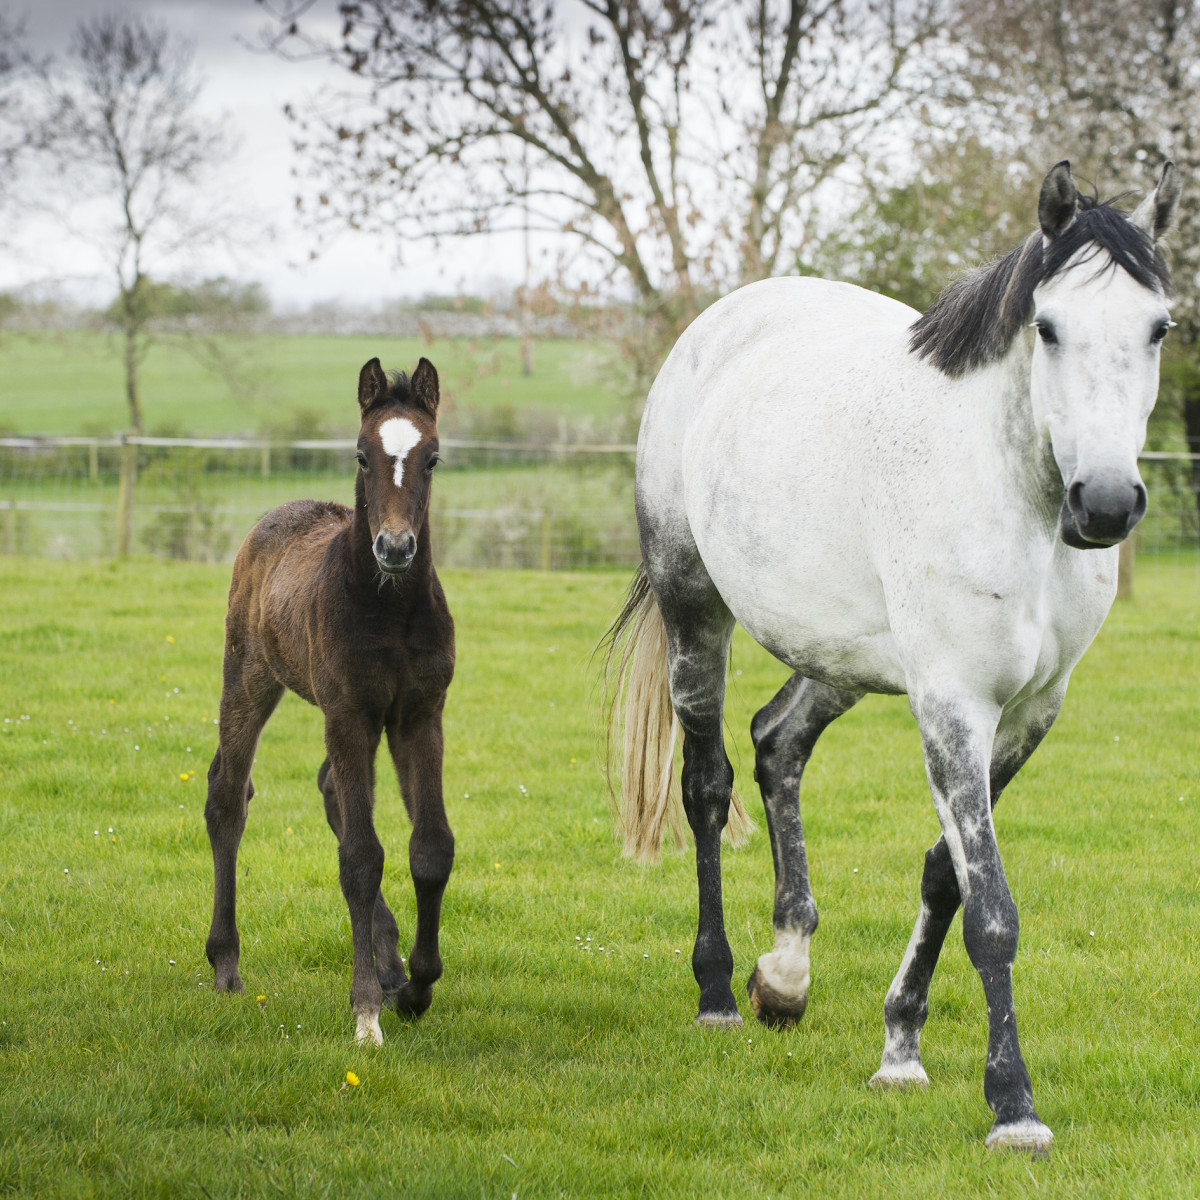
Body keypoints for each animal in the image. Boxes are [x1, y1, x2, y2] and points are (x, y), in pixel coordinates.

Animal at [204, 357, 455, 1047]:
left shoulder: (419, 716)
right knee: (227, 796)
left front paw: (417, 986)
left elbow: (430, 848)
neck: (391, 609)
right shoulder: (349, 714)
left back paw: (392, 964)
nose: (394, 548)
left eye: (432, 458)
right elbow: (362, 858)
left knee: (328, 791)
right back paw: (226, 964)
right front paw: (366, 1012)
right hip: (249, 675)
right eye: (363, 455)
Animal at [604, 160, 1180, 1151]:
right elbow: (992, 911)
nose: (1105, 504)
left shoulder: (1026, 715)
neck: (1012, 498)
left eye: (1160, 327)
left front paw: (901, 1047)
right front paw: (1013, 1105)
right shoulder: (952, 705)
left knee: (777, 743)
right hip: (693, 609)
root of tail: (726, 321)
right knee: (708, 786)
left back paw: (785, 975)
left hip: (838, 659)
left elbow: (947, 876)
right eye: (1048, 326)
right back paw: (720, 991)